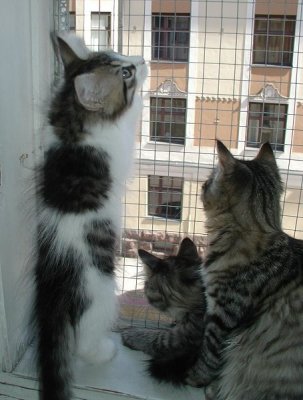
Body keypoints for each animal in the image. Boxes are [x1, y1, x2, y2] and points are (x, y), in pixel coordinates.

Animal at [33, 32, 147, 400]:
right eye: (125, 73)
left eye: (122, 55)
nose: (141, 60)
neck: (73, 120)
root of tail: (56, 288)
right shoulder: (119, 145)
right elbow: (131, 115)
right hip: (101, 295)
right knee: (84, 342)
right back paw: (104, 352)